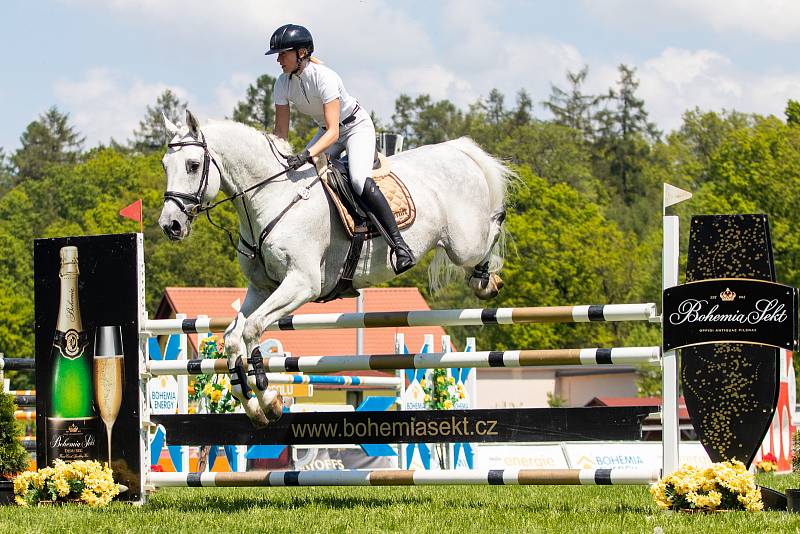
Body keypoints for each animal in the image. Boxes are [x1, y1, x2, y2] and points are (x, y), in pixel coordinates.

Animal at [158, 112, 512, 428]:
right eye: (164, 165)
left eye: (192, 165)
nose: (170, 226)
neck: (271, 197)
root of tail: (458, 150)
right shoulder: (262, 288)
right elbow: (233, 337)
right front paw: (254, 407)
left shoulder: (302, 284)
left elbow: (252, 328)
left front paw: (269, 399)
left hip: (463, 243)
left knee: (494, 226)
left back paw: (485, 278)